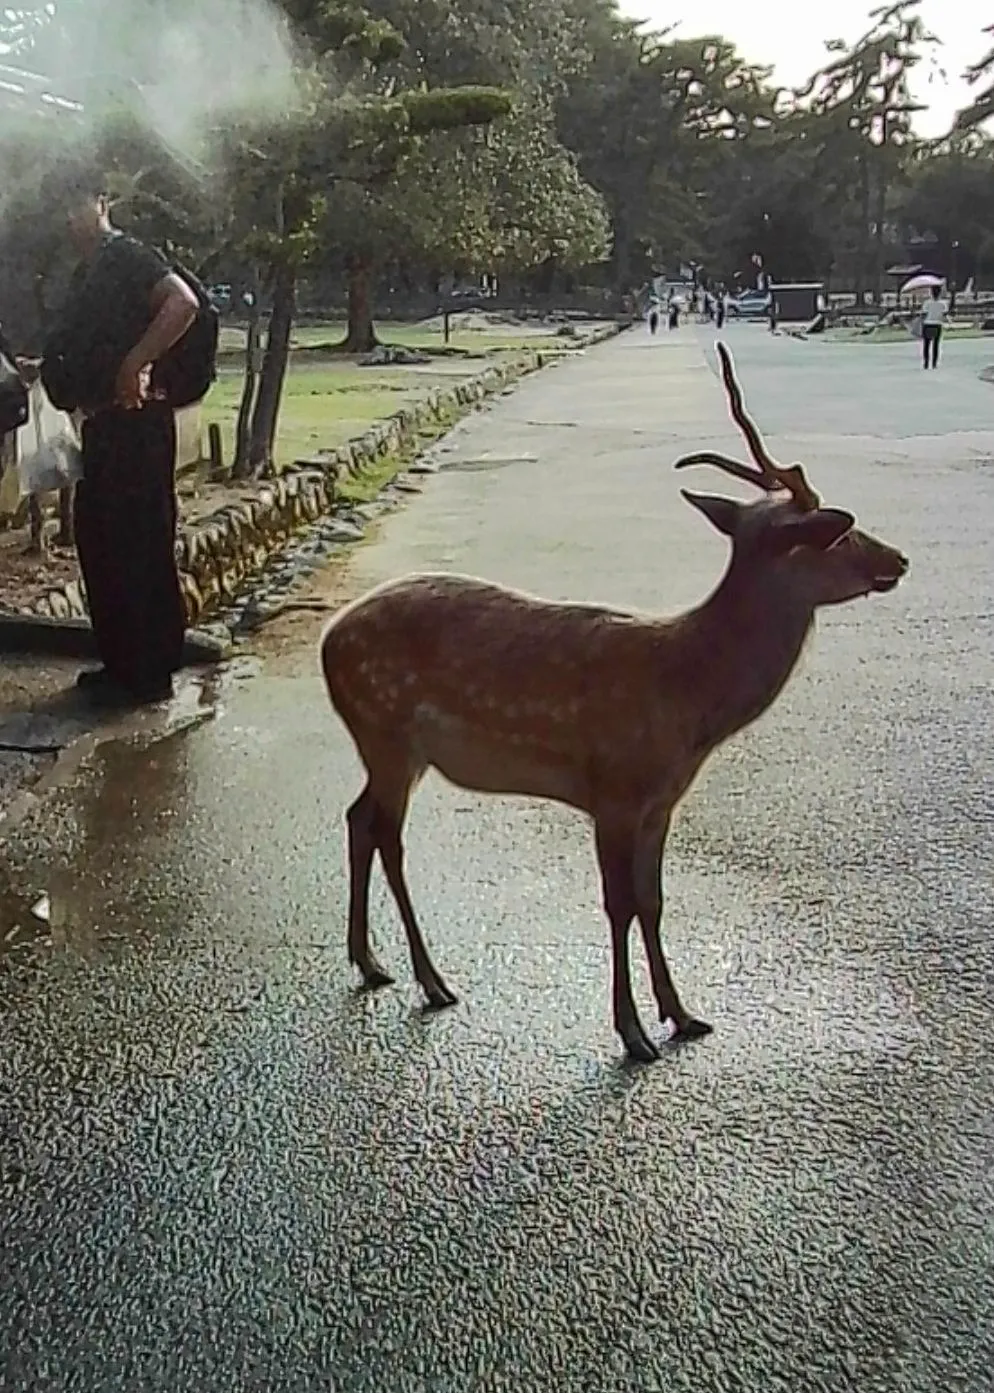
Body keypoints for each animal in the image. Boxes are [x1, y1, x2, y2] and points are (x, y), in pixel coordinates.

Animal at [320, 341, 909, 1063]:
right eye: (839, 534)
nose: (899, 559)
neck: (689, 701)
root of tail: (327, 640)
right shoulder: (613, 789)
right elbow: (618, 902)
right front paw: (632, 1032)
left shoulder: (661, 800)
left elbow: (653, 900)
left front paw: (683, 1014)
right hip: (384, 727)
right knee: (388, 836)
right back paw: (431, 980)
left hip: (394, 747)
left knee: (357, 818)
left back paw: (371, 962)